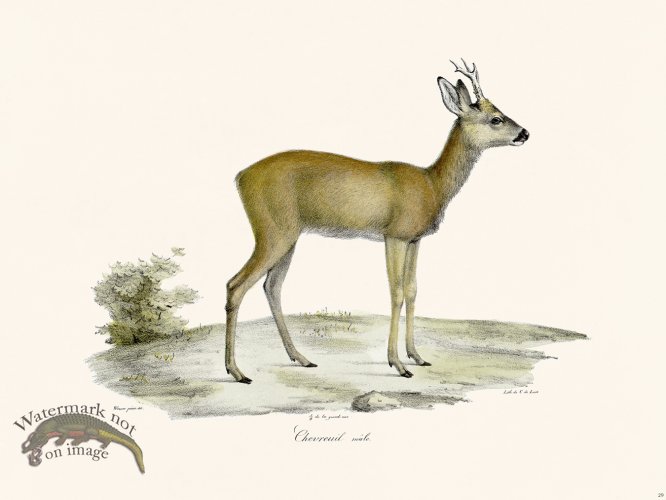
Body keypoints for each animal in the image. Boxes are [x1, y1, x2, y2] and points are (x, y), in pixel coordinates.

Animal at [225, 59, 529, 383]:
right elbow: (395, 292)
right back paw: (237, 371)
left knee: (272, 286)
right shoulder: (394, 235)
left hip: (289, 236)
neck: (432, 185)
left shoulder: (415, 239)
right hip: (272, 231)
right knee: (236, 284)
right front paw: (398, 364)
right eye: (495, 118)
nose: (525, 133)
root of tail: (240, 177)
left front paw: (417, 356)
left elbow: (412, 290)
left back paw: (301, 358)